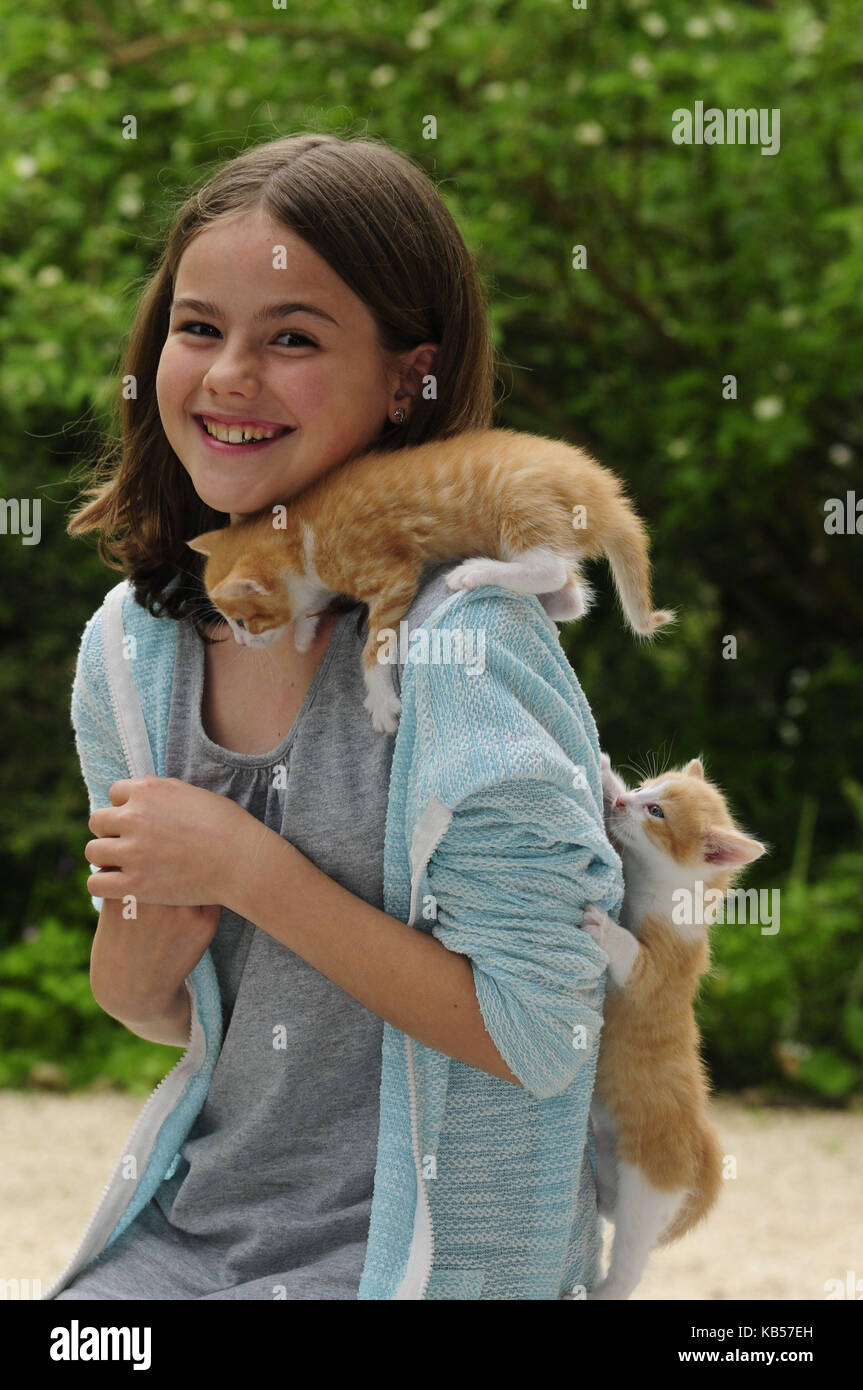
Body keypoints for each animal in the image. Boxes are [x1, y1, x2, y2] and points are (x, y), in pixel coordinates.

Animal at [186, 422, 672, 733]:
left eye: (243, 621)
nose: (242, 642)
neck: (301, 530)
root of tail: (602, 490)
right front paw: (306, 627)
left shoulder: (391, 574)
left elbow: (374, 645)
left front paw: (380, 699)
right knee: (572, 594)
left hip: (520, 501)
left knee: (549, 566)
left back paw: (476, 572)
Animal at [572, 756, 767, 1295]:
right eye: (645, 788)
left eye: (656, 812)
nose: (622, 802)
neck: (661, 890)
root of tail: (702, 1153)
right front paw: (605, 773)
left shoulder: (657, 969)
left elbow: (631, 956)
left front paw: (606, 927)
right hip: (621, 1174)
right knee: (610, 1203)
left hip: (650, 1191)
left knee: (630, 1262)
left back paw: (603, 1291)